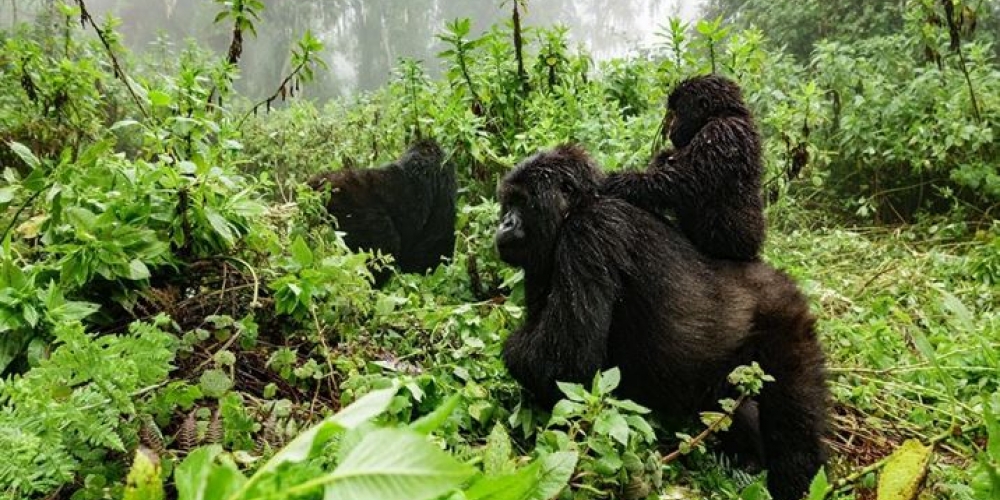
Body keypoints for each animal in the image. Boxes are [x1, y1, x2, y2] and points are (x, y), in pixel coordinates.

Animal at [494, 145, 828, 500]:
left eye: (521, 202)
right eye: (508, 202)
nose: (503, 224)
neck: (579, 206)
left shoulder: (590, 232)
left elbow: (562, 364)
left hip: (786, 318)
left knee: (794, 424)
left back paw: (797, 478)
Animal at [600, 76, 764, 262]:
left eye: (678, 112)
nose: (671, 129)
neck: (723, 113)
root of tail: (754, 251)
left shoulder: (719, 132)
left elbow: (686, 181)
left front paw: (621, 182)